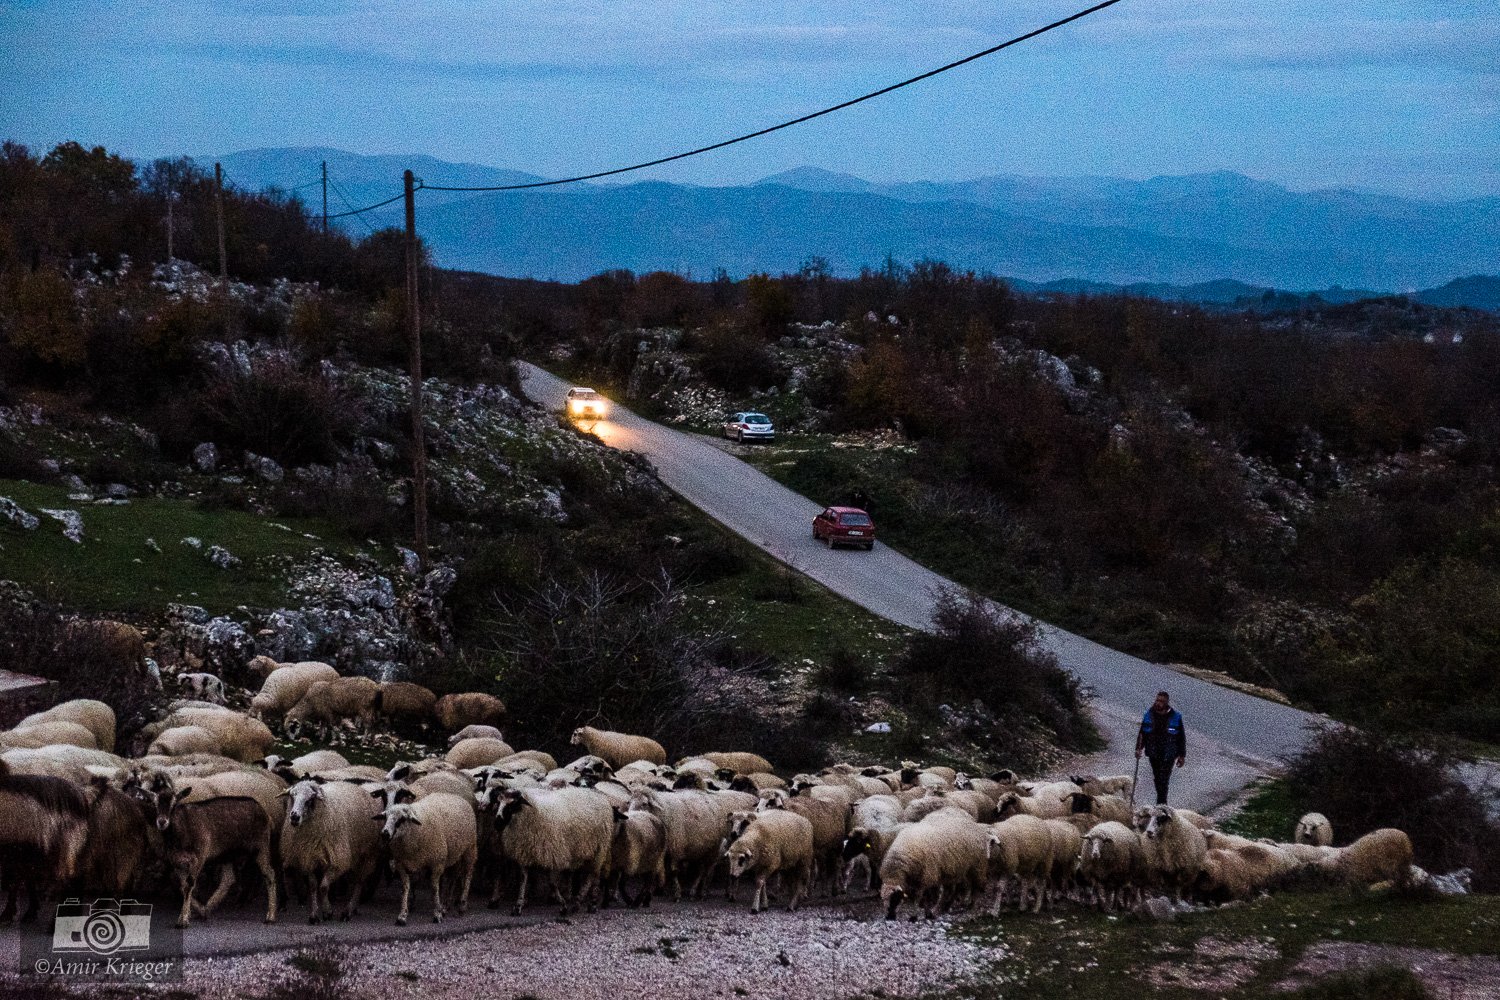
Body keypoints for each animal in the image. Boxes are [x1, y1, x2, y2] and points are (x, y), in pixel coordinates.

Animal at [378, 791, 477, 929]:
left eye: (402, 819)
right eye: (386, 817)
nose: (385, 833)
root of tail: (455, 796)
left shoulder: (437, 863)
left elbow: (434, 888)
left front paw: (437, 914)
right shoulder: (401, 864)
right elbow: (405, 888)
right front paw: (402, 916)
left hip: (470, 848)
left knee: (468, 874)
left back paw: (462, 905)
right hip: (454, 853)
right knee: (452, 877)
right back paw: (445, 906)